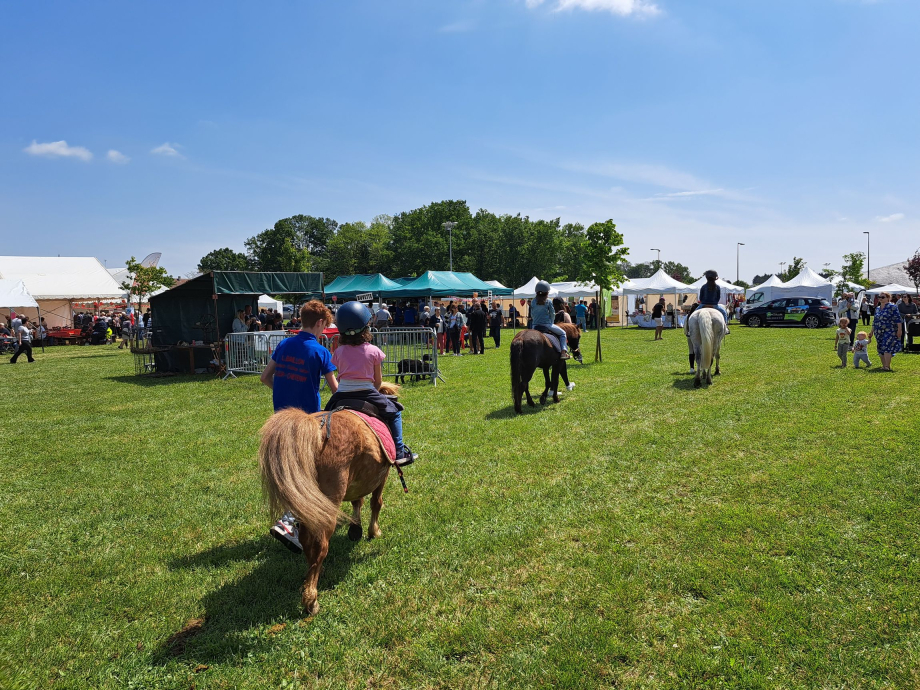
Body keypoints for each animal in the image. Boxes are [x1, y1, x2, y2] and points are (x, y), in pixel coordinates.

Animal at [260, 382, 400, 612]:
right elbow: (375, 503)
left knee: (306, 540)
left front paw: (355, 528)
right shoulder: (383, 475)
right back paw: (311, 599)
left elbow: (358, 501)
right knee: (319, 545)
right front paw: (373, 531)